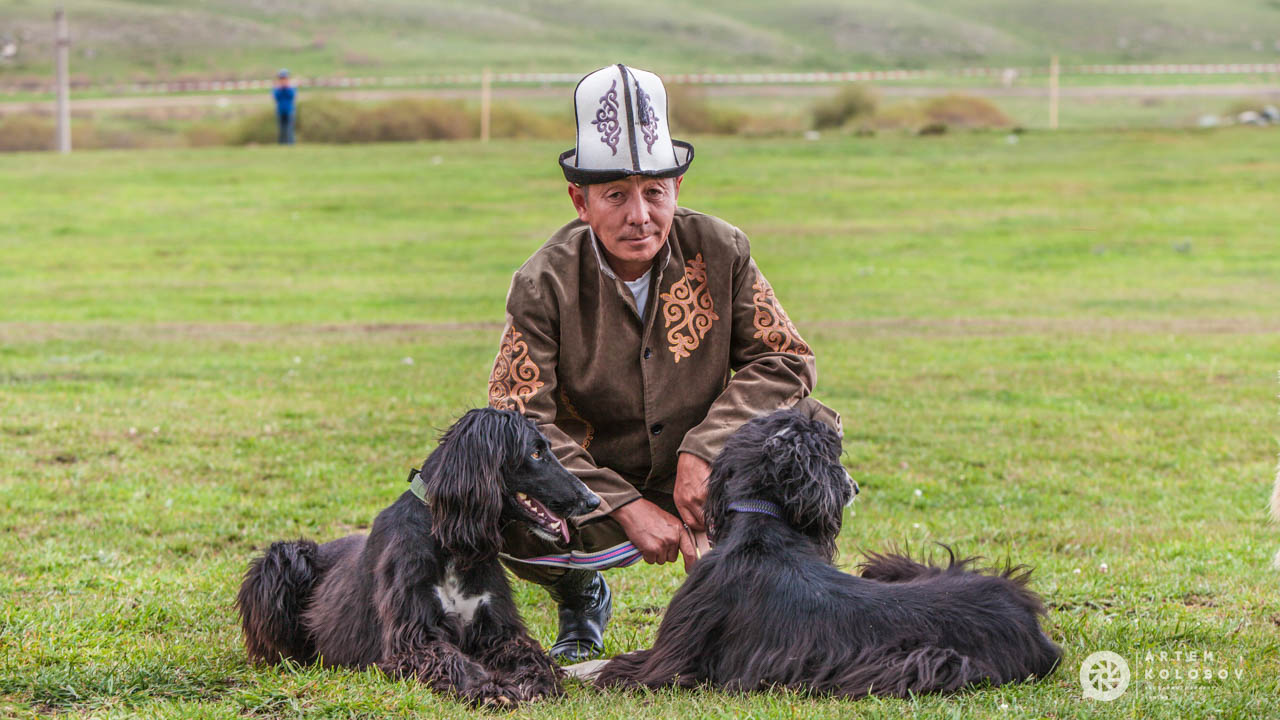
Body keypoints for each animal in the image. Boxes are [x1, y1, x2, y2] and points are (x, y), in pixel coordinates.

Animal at [236, 407, 600, 705]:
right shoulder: (415, 638)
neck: (449, 545)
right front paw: (492, 689)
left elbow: (531, 655)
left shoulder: (498, 630)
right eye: (536, 453)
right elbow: (455, 662)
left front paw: (537, 682)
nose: (593, 501)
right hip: (284, 557)